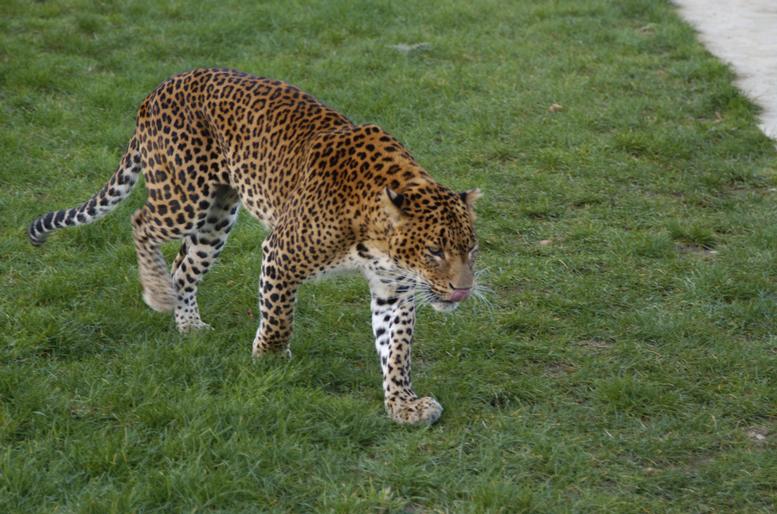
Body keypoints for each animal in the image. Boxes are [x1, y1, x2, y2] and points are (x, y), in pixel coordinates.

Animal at [28, 68, 482, 425]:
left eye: (471, 250)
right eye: (434, 251)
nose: (463, 289)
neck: (374, 233)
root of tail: (162, 85)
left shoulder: (395, 289)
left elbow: (396, 350)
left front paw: (403, 404)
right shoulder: (280, 253)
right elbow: (280, 316)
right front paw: (268, 358)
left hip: (216, 218)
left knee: (183, 266)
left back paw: (187, 323)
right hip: (184, 196)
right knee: (140, 222)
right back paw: (157, 293)